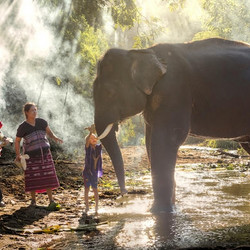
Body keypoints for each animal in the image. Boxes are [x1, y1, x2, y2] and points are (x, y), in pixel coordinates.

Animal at [93, 37, 250, 213]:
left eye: (109, 92)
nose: (124, 195)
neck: (141, 52)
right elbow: (149, 142)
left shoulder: (172, 90)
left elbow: (167, 140)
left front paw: (158, 212)